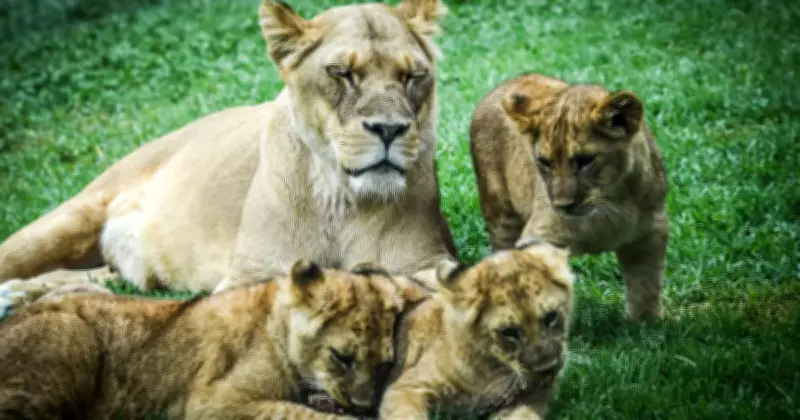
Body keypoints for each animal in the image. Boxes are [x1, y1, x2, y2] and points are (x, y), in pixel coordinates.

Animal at [0, 0, 456, 304]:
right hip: (69, 218)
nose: (389, 129)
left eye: (413, 75)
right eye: (342, 73)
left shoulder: (427, 262)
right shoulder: (246, 277)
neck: (339, 200)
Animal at [0, 259, 426, 419]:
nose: (363, 405)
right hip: (69, 333)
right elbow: (301, 414)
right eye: (342, 357)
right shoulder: (212, 403)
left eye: (385, 364)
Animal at [377, 240, 574, 420]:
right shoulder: (405, 387)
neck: (490, 368)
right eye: (508, 332)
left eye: (551, 317)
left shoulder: (533, 397)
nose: (547, 369)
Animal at [469, 72, 669, 322]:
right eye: (545, 162)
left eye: (585, 161)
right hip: (501, 214)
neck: (611, 203)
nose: (562, 205)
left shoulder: (649, 232)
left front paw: (646, 325)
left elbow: (645, 286)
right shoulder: (541, 234)